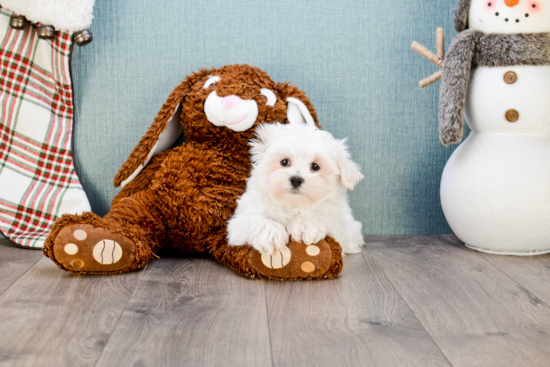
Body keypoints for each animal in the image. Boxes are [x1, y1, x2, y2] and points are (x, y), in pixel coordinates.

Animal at [229, 123, 366, 256]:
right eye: (284, 162)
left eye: (315, 166)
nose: (296, 179)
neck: (292, 204)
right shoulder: (239, 223)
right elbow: (254, 219)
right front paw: (271, 233)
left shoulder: (335, 224)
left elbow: (318, 215)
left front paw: (304, 227)